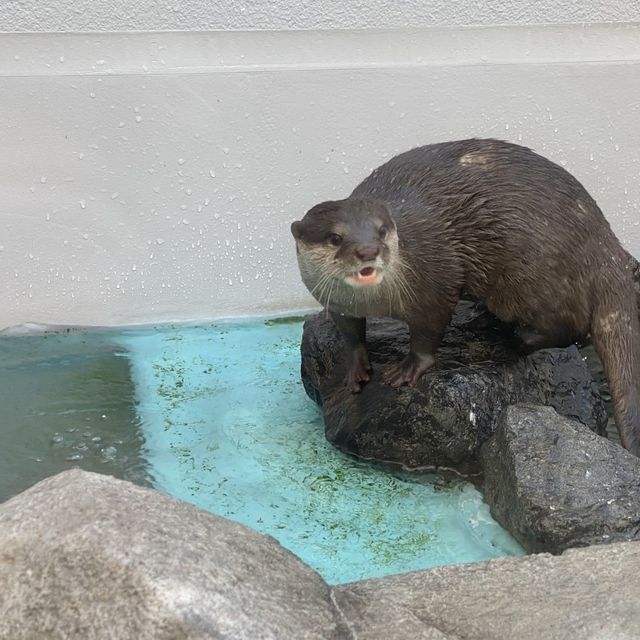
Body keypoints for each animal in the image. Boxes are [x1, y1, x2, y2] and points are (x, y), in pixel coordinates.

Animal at [292, 139, 640, 458]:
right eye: (335, 237)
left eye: (381, 230)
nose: (368, 250)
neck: (374, 301)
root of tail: (607, 247)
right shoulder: (338, 303)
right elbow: (350, 334)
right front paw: (355, 368)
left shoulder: (436, 281)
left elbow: (429, 330)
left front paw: (408, 368)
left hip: (530, 277)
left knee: (571, 329)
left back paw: (513, 337)